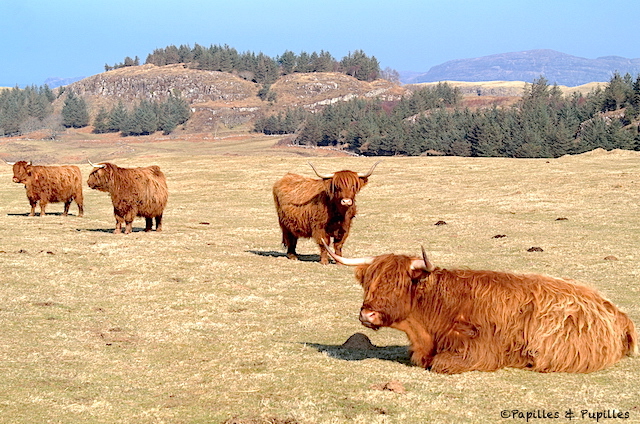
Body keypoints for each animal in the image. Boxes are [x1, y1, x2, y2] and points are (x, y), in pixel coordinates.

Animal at [325, 244, 638, 374]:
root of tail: (617, 312)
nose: (367, 314)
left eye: (399, 284)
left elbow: (440, 364)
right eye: (370, 282)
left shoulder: (481, 349)